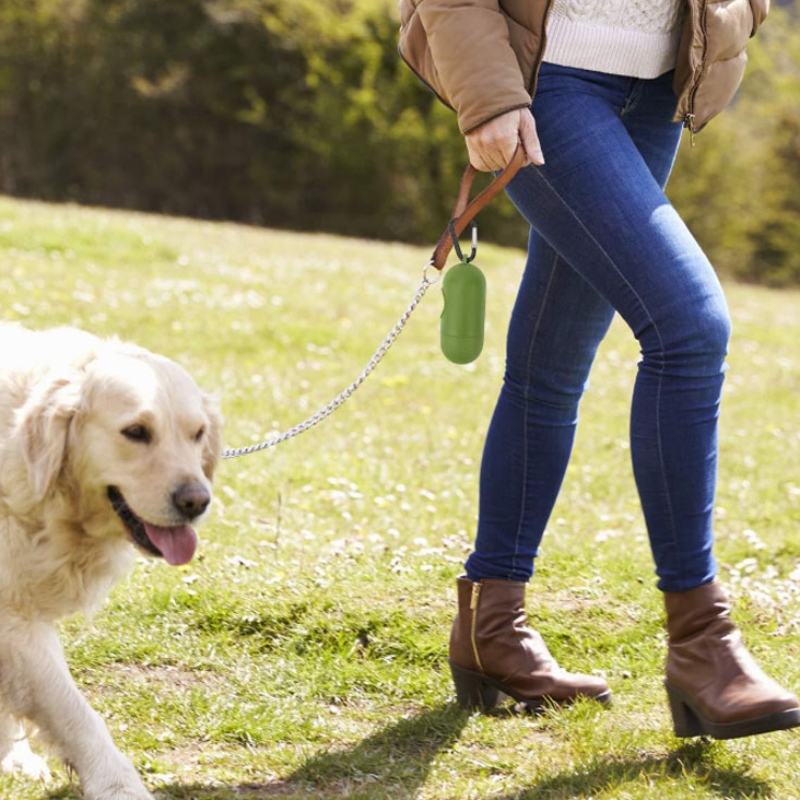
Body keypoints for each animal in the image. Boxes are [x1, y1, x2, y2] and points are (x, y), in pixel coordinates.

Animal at [0, 324, 222, 800]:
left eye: (197, 433)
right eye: (136, 431)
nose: (197, 502)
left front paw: (14, 758)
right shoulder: (15, 618)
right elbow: (74, 711)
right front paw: (118, 784)